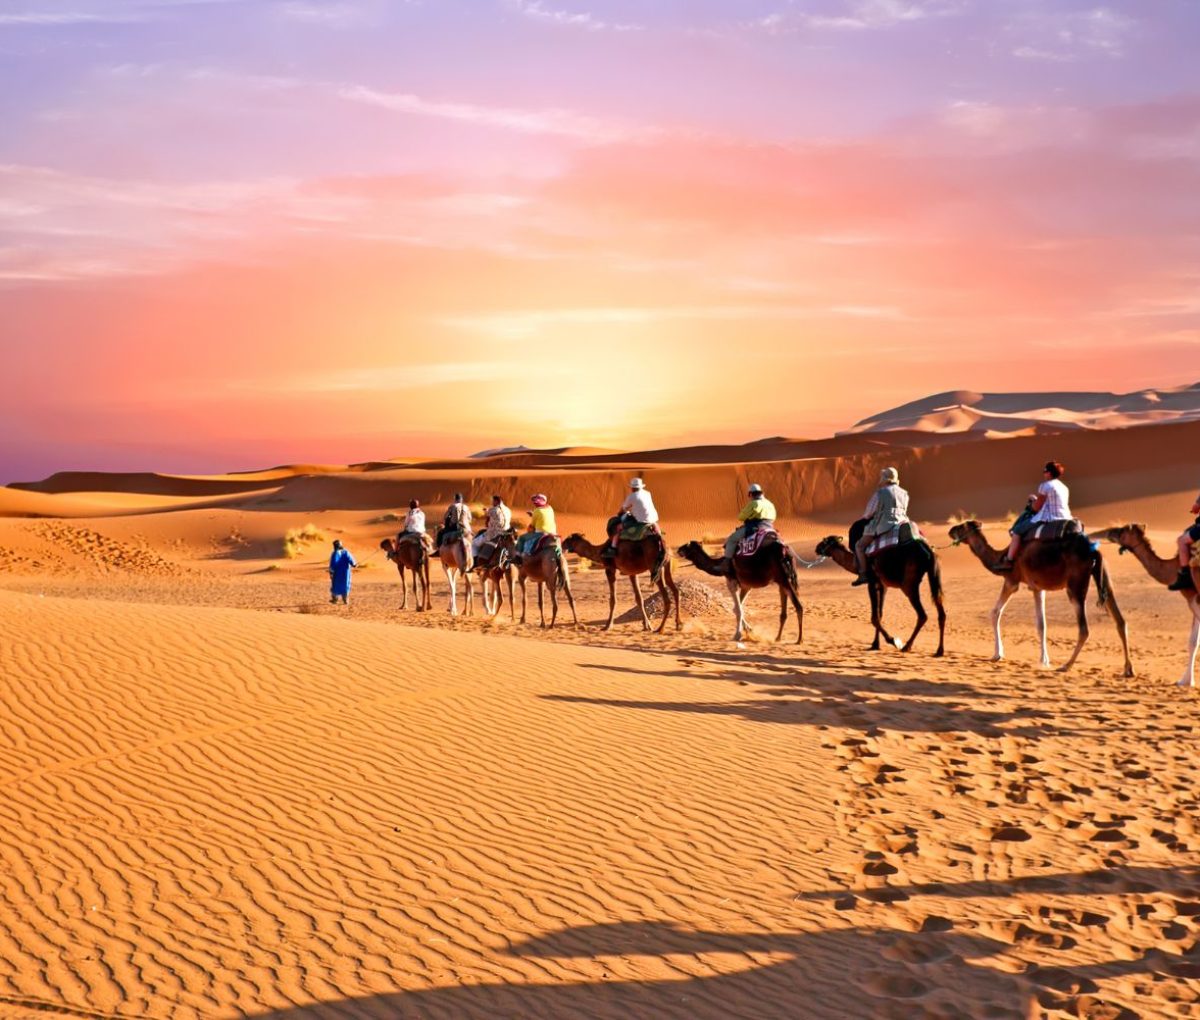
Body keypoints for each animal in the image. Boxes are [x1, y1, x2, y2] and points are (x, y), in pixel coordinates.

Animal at [816, 516, 945, 652]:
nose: (817, 548)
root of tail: (928, 551)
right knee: (940, 610)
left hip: (908, 584)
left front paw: (893, 641)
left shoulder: (872, 582)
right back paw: (939, 650)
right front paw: (875, 644)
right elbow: (880, 614)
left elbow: (874, 618)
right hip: (932, 577)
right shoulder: (883, 585)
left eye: (824, 542)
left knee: (922, 615)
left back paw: (906, 646)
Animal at [950, 516, 1128, 676]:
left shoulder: (1012, 581)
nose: (950, 530)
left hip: (1075, 586)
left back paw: (1066, 665)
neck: (999, 557)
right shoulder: (1037, 588)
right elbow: (1041, 624)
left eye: (962, 526)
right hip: (1104, 577)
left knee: (1084, 629)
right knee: (1120, 620)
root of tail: (1094, 551)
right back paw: (1128, 669)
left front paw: (997, 654)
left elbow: (995, 612)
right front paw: (1044, 660)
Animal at [1099, 525, 1200, 681]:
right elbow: (1194, 642)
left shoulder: (1192, 597)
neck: (1173, 567)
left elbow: (1193, 641)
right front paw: (1186, 681)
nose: (1109, 533)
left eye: (1122, 530)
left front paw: (1186, 681)